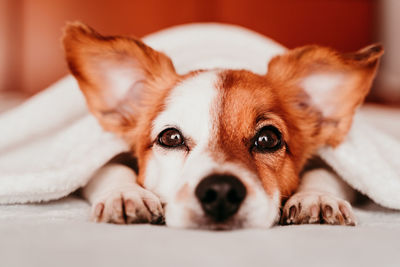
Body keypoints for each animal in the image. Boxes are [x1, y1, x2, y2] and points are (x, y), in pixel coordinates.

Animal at [63, 22, 384, 230]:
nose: (219, 191)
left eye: (268, 139)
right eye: (171, 137)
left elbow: (325, 172)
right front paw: (124, 194)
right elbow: (109, 169)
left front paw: (315, 197)